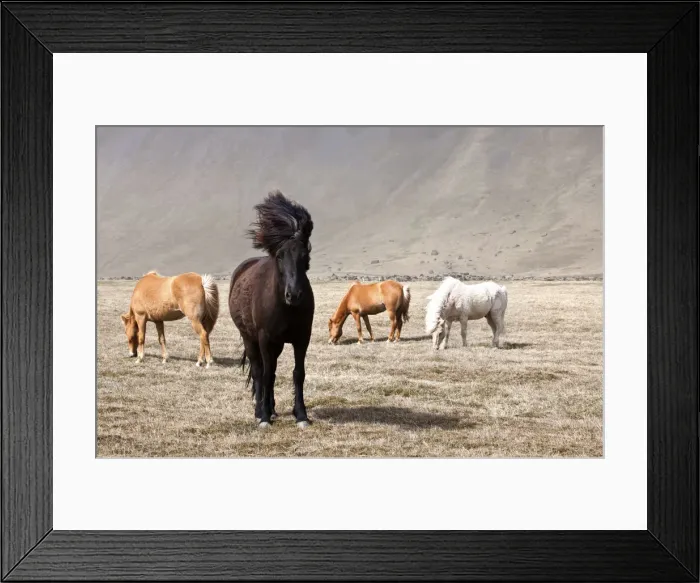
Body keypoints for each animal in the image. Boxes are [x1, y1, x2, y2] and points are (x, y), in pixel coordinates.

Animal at [228, 190, 315, 430]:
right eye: (280, 256)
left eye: (305, 255)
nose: (293, 295)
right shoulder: (265, 338)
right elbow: (265, 375)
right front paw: (264, 417)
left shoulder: (302, 338)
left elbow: (298, 373)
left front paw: (301, 415)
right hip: (250, 338)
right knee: (260, 372)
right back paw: (261, 411)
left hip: (276, 344)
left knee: (272, 372)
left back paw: (273, 408)